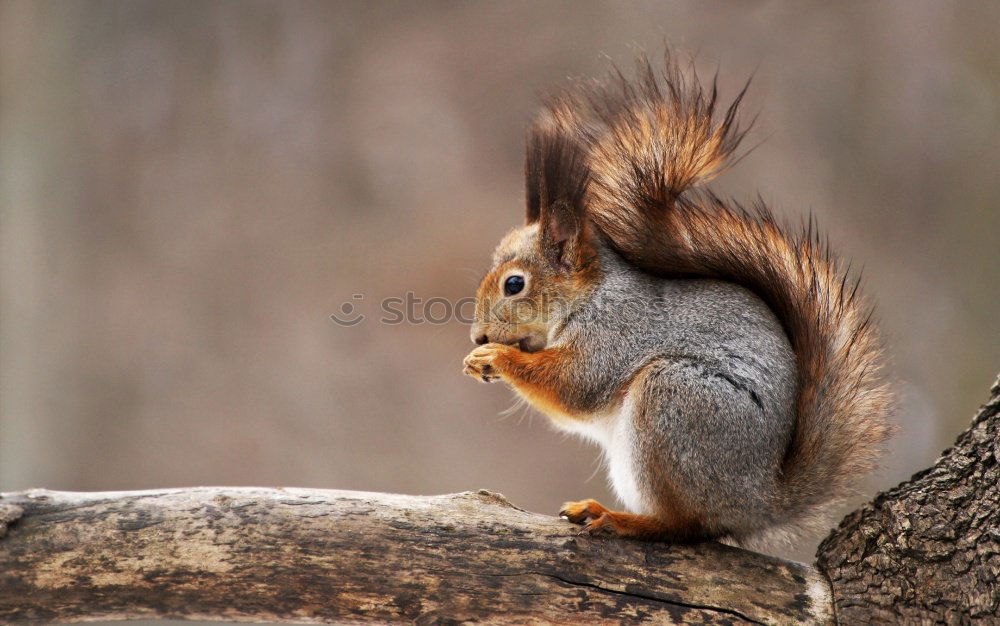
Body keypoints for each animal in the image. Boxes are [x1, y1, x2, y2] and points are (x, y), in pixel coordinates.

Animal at [464, 51, 896, 544]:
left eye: (514, 284)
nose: (477, 337)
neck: (589, 297)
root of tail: (758, 501)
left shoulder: (615, 333)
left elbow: (574, 385)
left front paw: (496, 358)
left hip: (675, 402)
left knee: (685, 525)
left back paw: (618, 518)